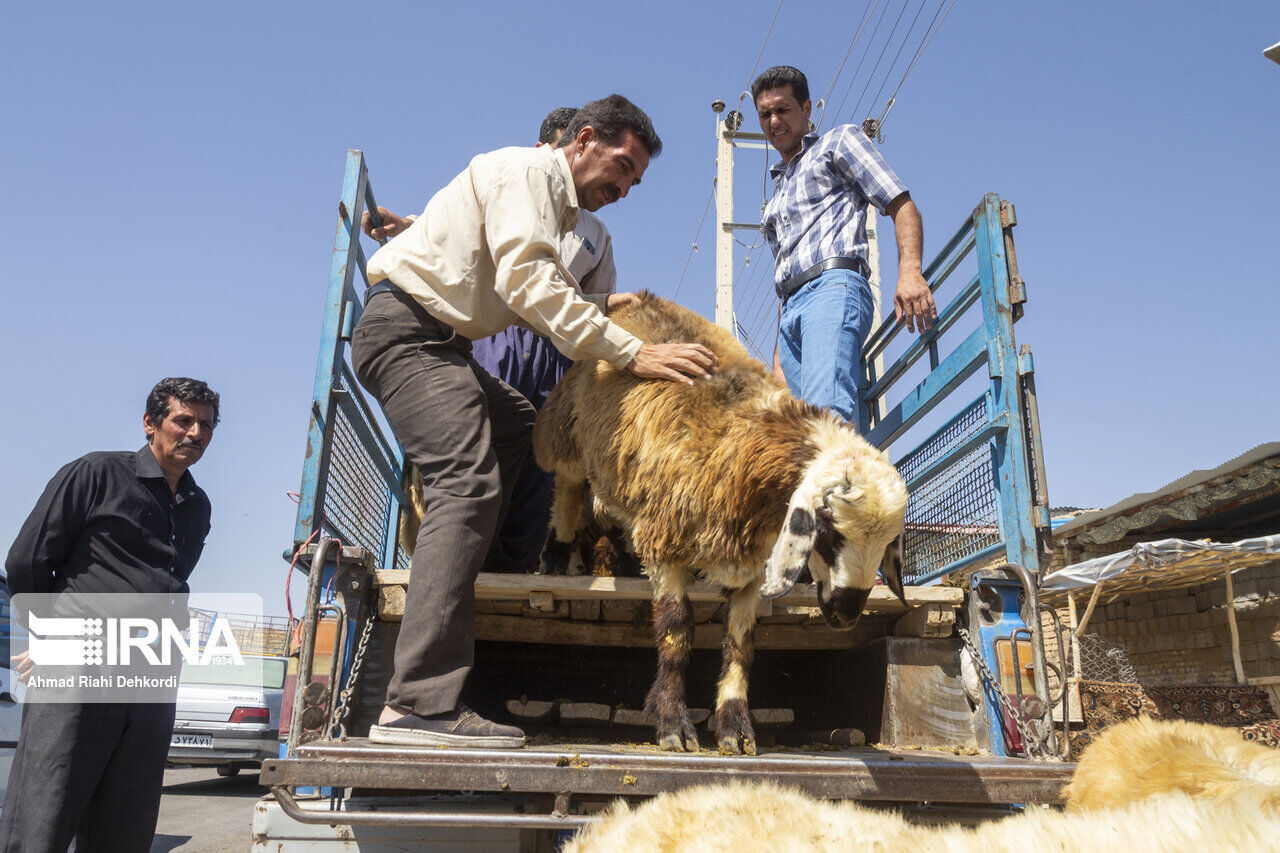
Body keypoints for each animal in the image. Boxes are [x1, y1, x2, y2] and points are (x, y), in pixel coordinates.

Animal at [529, 290, 911, 753]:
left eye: (888, 543)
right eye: (828, 531)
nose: (845, 616)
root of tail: (636, 299)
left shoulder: (750, 568)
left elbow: (740, 645)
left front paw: (735, 728)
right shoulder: (664, 542)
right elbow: (677, 632)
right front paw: (673, 725)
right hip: (564, 430)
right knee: (567, 490)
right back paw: (558, 556)